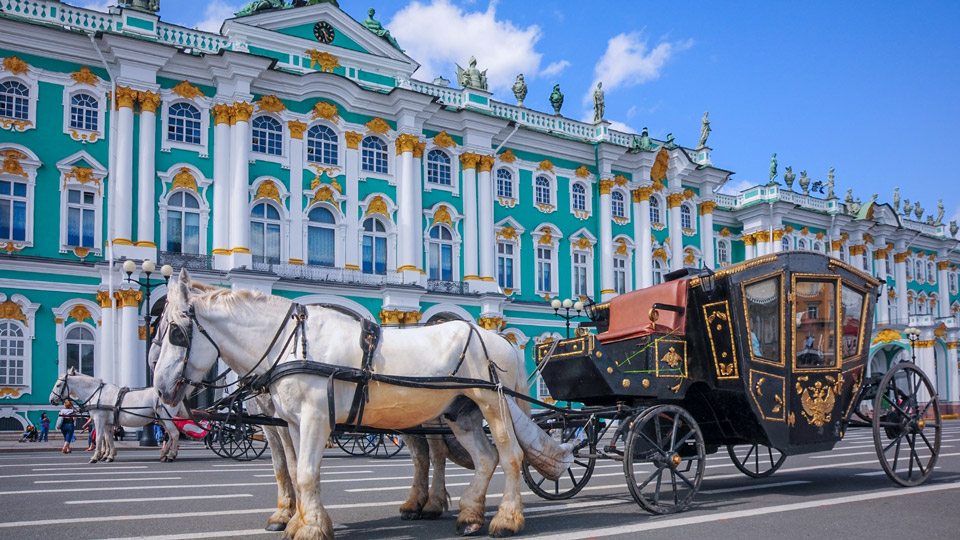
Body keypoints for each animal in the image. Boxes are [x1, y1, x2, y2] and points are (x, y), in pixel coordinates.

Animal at [49, 370, 188, 462]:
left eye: (58, 385)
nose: (51, 400)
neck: (97, 394)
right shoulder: (107, 423)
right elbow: (109, 438)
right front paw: (109, 456)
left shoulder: (99, 420)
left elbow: (99, 438)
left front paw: (95, 457)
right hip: (162, 420)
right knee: (170, 435)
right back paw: (164, 454)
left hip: (166, 418)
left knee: (174, 434)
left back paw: (171, 455)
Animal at [156, 270, 532, 540]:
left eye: (175, 333)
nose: (160, 388)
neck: (292, 344)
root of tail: (504, 341)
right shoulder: (291, 422)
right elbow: (293, 470)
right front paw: (299, 521)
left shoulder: (315, 418)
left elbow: (305, 472)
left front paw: (308, 528)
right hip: (459, 412)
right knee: (481, 458)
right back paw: (468, 516)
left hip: (493, 405)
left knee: (510, 455)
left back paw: (505, 519)